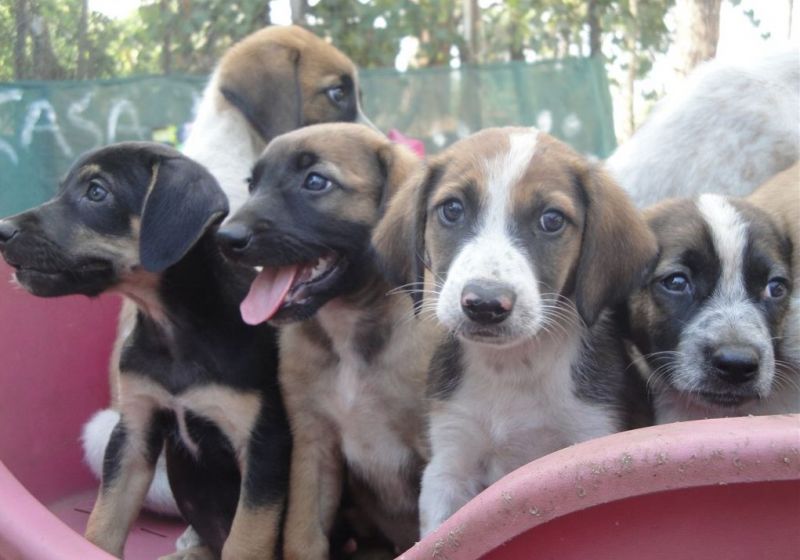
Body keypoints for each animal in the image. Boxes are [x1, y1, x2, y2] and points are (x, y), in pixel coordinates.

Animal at [0, 142, 290, 556]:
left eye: (97, 192)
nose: (2, 230)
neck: (174, 331)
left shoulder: (263, 447)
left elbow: (245, 540)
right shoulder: (134, 431)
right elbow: (103, 523)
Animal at [216, 123, 440, 560]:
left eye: (315, 182)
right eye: (252, 184)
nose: (226, 238)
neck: (347, 330)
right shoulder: (313, 445)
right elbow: (303, 537)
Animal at [376, 128, 656, 540]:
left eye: (552, 220)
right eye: (452, 210)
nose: (485, 304)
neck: (512, 365)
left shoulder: (592, 441)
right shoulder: (450, 464)